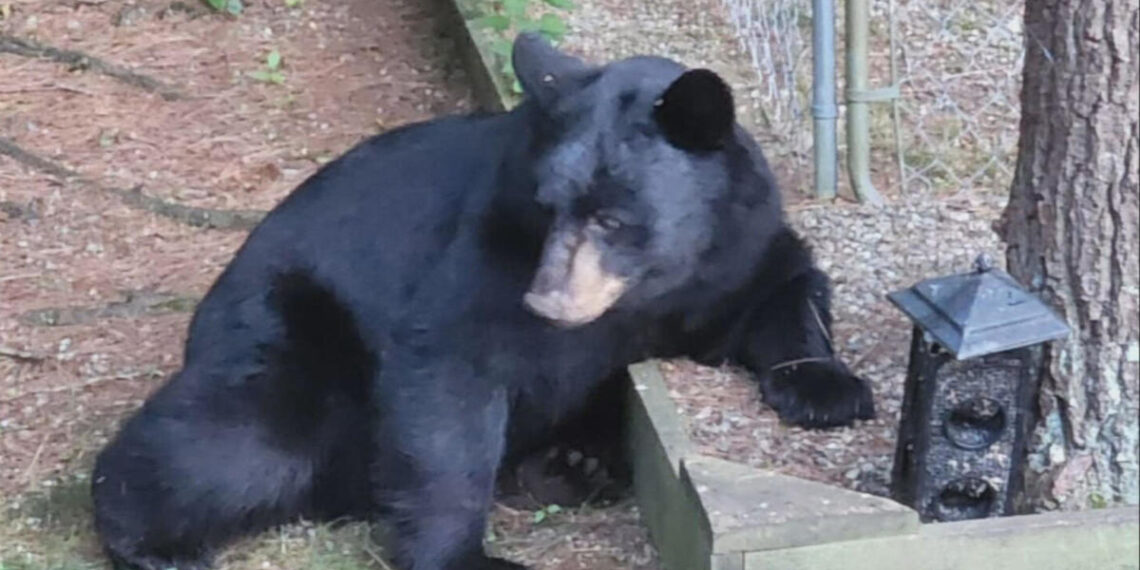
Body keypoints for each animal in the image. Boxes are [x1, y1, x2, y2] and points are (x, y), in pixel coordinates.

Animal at [91, 32, 874, 570]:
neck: (651, 289)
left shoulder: (733, 246)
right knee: (243, 438)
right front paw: (469, 556)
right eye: (549, 205)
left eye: (611, 218)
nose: (548, 302)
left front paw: (827, 389)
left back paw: (572, 463)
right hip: (293, 334)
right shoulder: (485, 254)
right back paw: (154, 542)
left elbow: (782, 290)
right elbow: (449, 382)